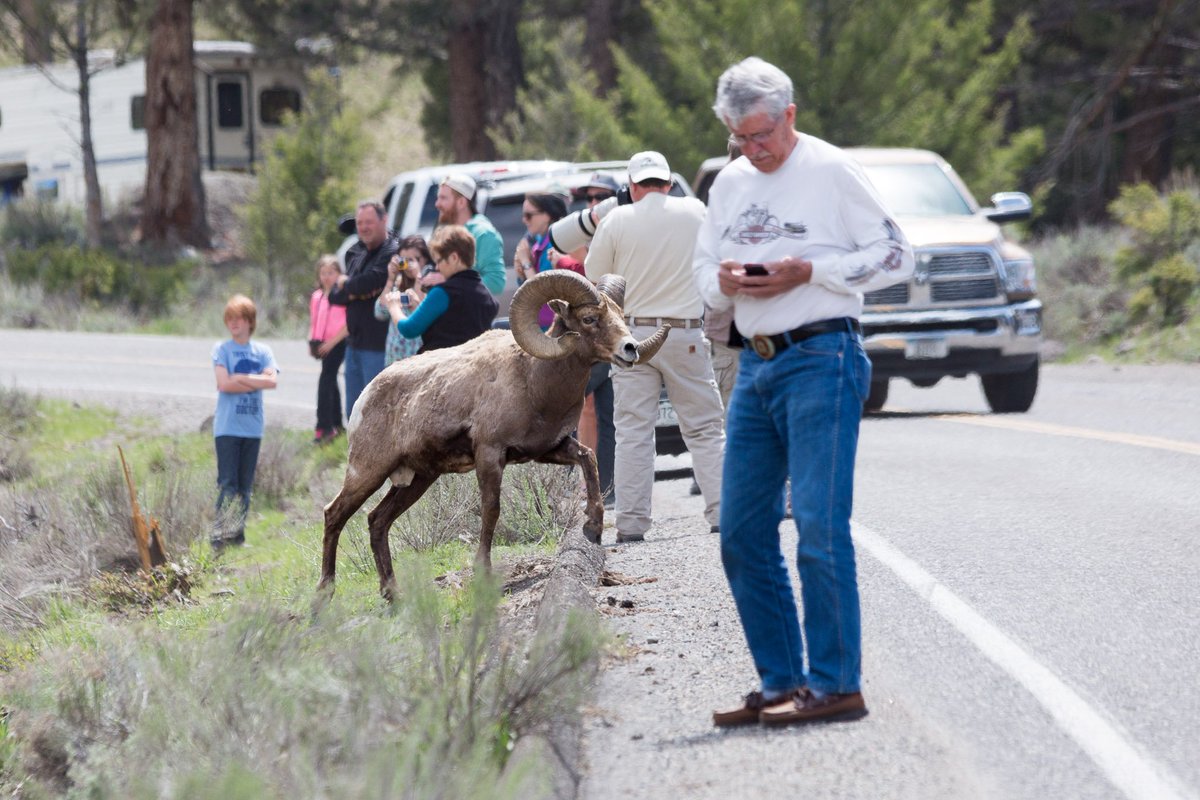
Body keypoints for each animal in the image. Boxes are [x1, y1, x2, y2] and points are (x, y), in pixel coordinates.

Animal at [319, 271, 672, 599]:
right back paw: (323, 597)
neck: (534, 379)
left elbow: (590, 458)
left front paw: (593, 529)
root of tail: (364, 397)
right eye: (589, 319)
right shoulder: (490, 455)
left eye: (620, 316)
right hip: (367, 473)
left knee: (377, 520)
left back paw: (392, 595)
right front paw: (484, 573)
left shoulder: (551, 449)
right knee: (334, 515)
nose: (630, 349)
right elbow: (491, 509)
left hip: (418, 479)